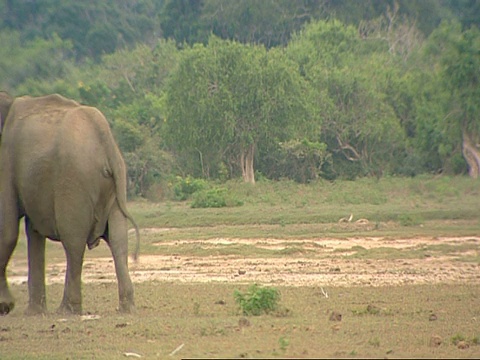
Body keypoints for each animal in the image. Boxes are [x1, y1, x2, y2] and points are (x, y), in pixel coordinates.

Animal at [0, 93, 139, 316]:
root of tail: (105, 140)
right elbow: (32, 231)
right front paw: (33, 313)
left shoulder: (5, 160)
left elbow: (7, 229)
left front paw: (5, 307)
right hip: (113, 184)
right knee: (118, 240)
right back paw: (126, 309)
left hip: (73, 183)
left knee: (73, 242)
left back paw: (66, 311)